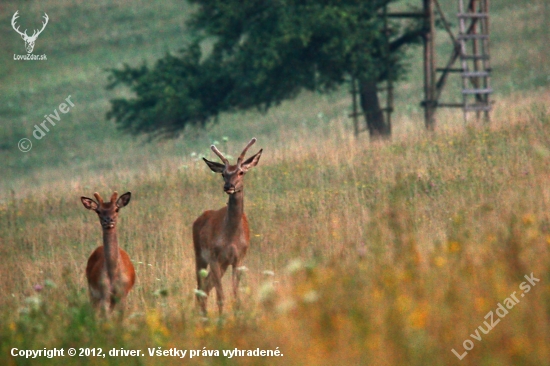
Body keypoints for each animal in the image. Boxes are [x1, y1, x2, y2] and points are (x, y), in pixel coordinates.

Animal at [193, 137, 264, 314]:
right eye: (223, 174)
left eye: (241, 172)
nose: (228, 186)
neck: (231, 238)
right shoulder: (214, 257)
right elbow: (221, 297)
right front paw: (222, 318)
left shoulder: (238, 258)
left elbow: (235, 296)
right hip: (200, 256)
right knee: (200, 289)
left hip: (222, 263)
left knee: (205, 288)